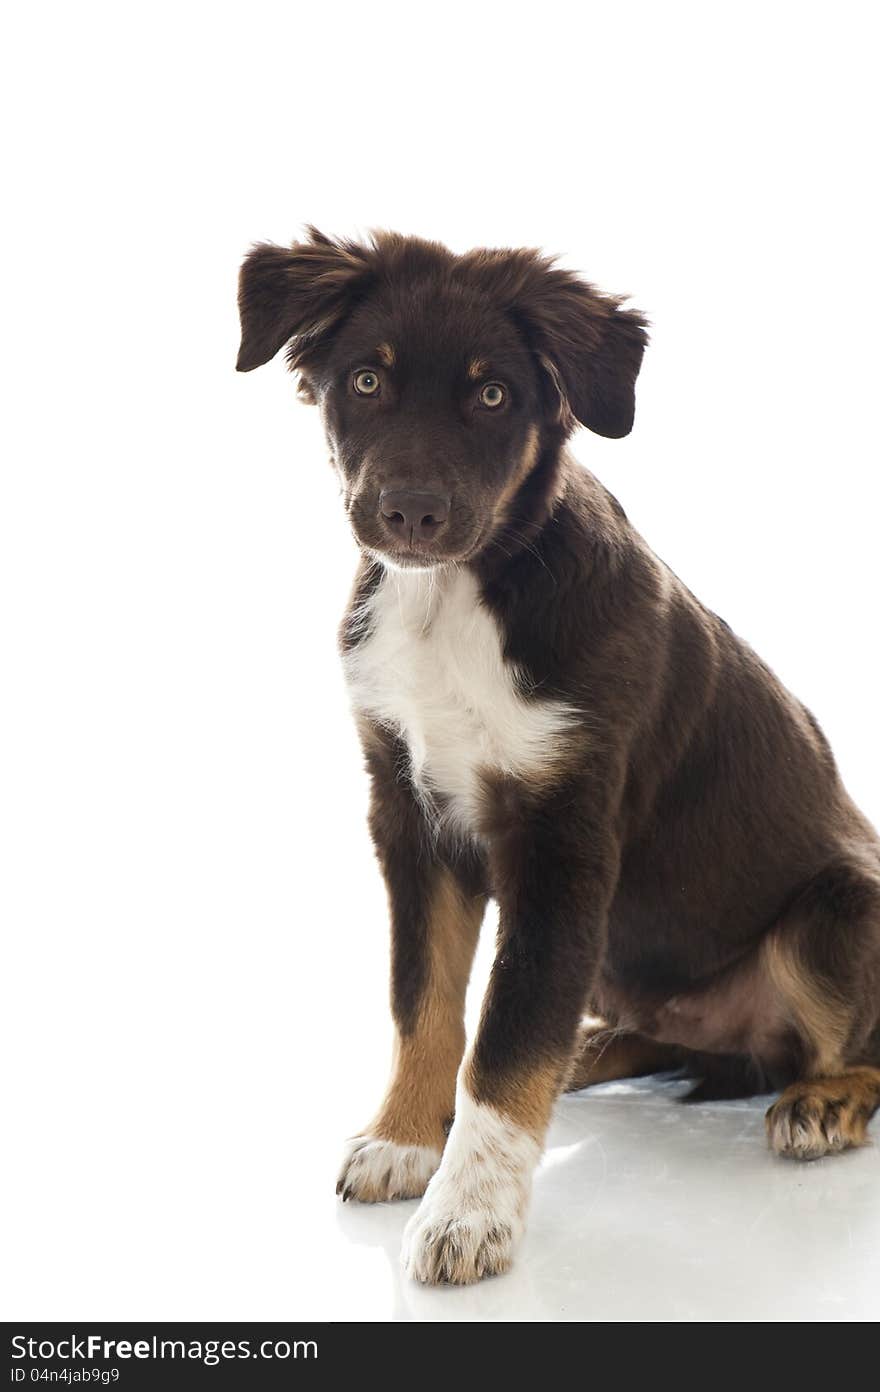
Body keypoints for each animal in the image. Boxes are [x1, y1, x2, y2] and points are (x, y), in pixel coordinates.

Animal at [233, 225, 880, 1280]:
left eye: (494, 395)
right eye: (366, 379)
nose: (411, 513)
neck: (457, 594)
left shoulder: (562, 837)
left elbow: (505, 1042)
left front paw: (470, 1216)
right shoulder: (409, 815)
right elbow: (427, 1000)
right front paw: (406, 1139)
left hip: (831, 913)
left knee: (851, 1042)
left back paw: (823, 1100)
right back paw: (592, 1051)